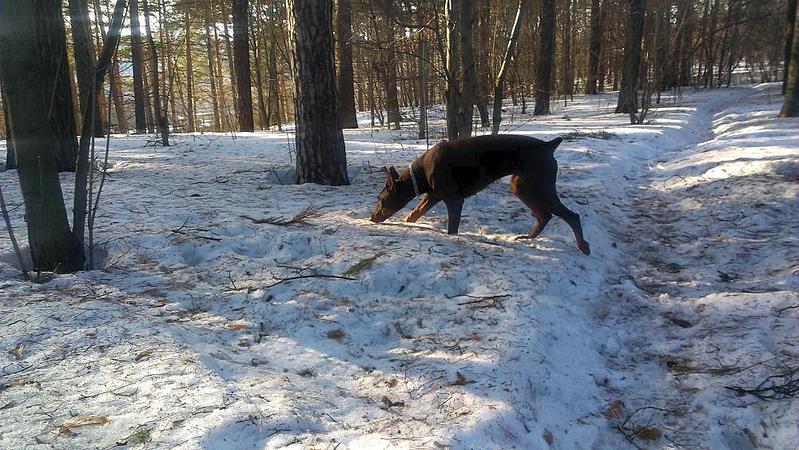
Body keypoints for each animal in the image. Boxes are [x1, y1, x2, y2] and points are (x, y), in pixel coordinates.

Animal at [372, 134, 592, 255]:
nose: (372, 217)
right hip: (522, 187)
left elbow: (452, 228)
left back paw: (583, 246)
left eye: (380, 199)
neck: (420, 174)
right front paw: (408, 222)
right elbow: (414, 213)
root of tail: (549, 145)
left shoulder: (454, 200)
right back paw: (528, 237)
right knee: (544, 215)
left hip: (538, 188)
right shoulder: (433, 196)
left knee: (572, 216)